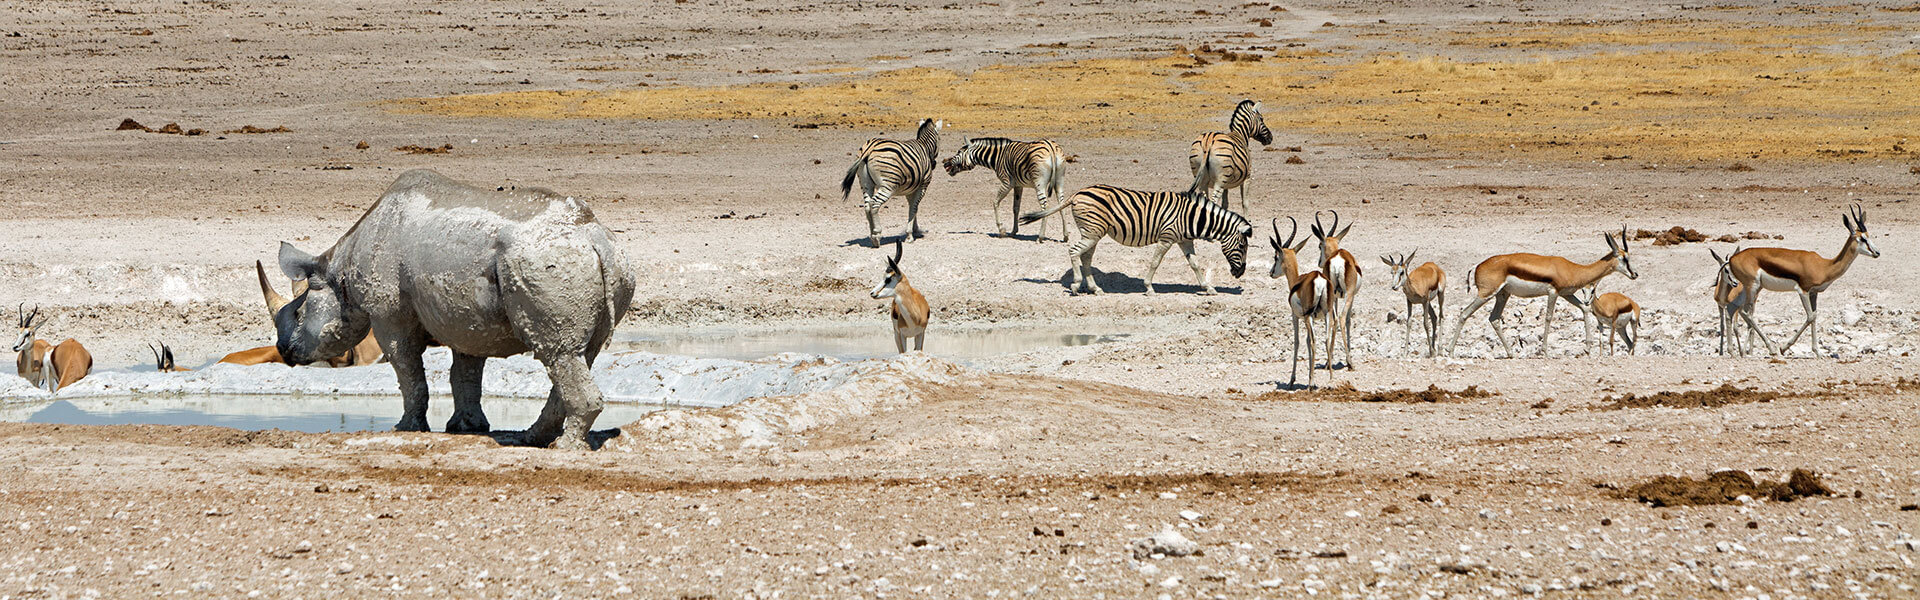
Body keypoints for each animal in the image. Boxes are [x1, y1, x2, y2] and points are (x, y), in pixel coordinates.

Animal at [840, 119, 944, 248]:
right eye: (939, 139)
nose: (934, 164)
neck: (924, 146)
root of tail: (869, 147)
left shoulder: (911, 189)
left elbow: (913, 207)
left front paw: (915, 229)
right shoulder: (923, 186)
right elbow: (914, 207)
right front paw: (909, 236)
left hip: (865, 184)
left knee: (867, 205)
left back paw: (872, 235)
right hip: (888, 185)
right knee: (874, 204)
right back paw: (877, 235)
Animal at [1013, 160, 1251, 294]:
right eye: (1242, 247)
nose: (1240, 274)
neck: (1192, 216)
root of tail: (1077, 193)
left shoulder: (1184, 240)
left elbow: (1194, 264)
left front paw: (1208, 288)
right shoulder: (1167, 237)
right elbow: (1155, 262)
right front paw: (1149, 288)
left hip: (1092, 232)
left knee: (1085, 257)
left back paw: (1095, 288)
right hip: (1092, 232)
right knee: (1073, 251)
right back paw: (1076, 285)